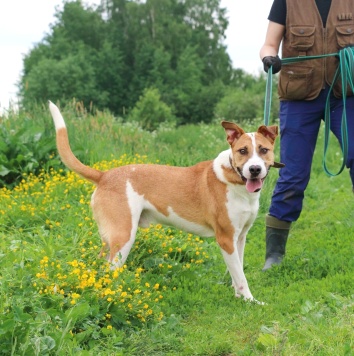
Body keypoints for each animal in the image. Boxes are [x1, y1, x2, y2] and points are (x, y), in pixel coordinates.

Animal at [49, 101, 282, 302]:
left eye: (263, 150)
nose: (254, 169)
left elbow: (237, 272)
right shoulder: (226, 239)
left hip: (111, 239)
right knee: (109, 271)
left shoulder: (240, 238)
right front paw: (251, 301)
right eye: (243, 151)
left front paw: (239, 298)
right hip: (123, 237)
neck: (236, 180)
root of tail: (104, 175)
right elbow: (241, 277)